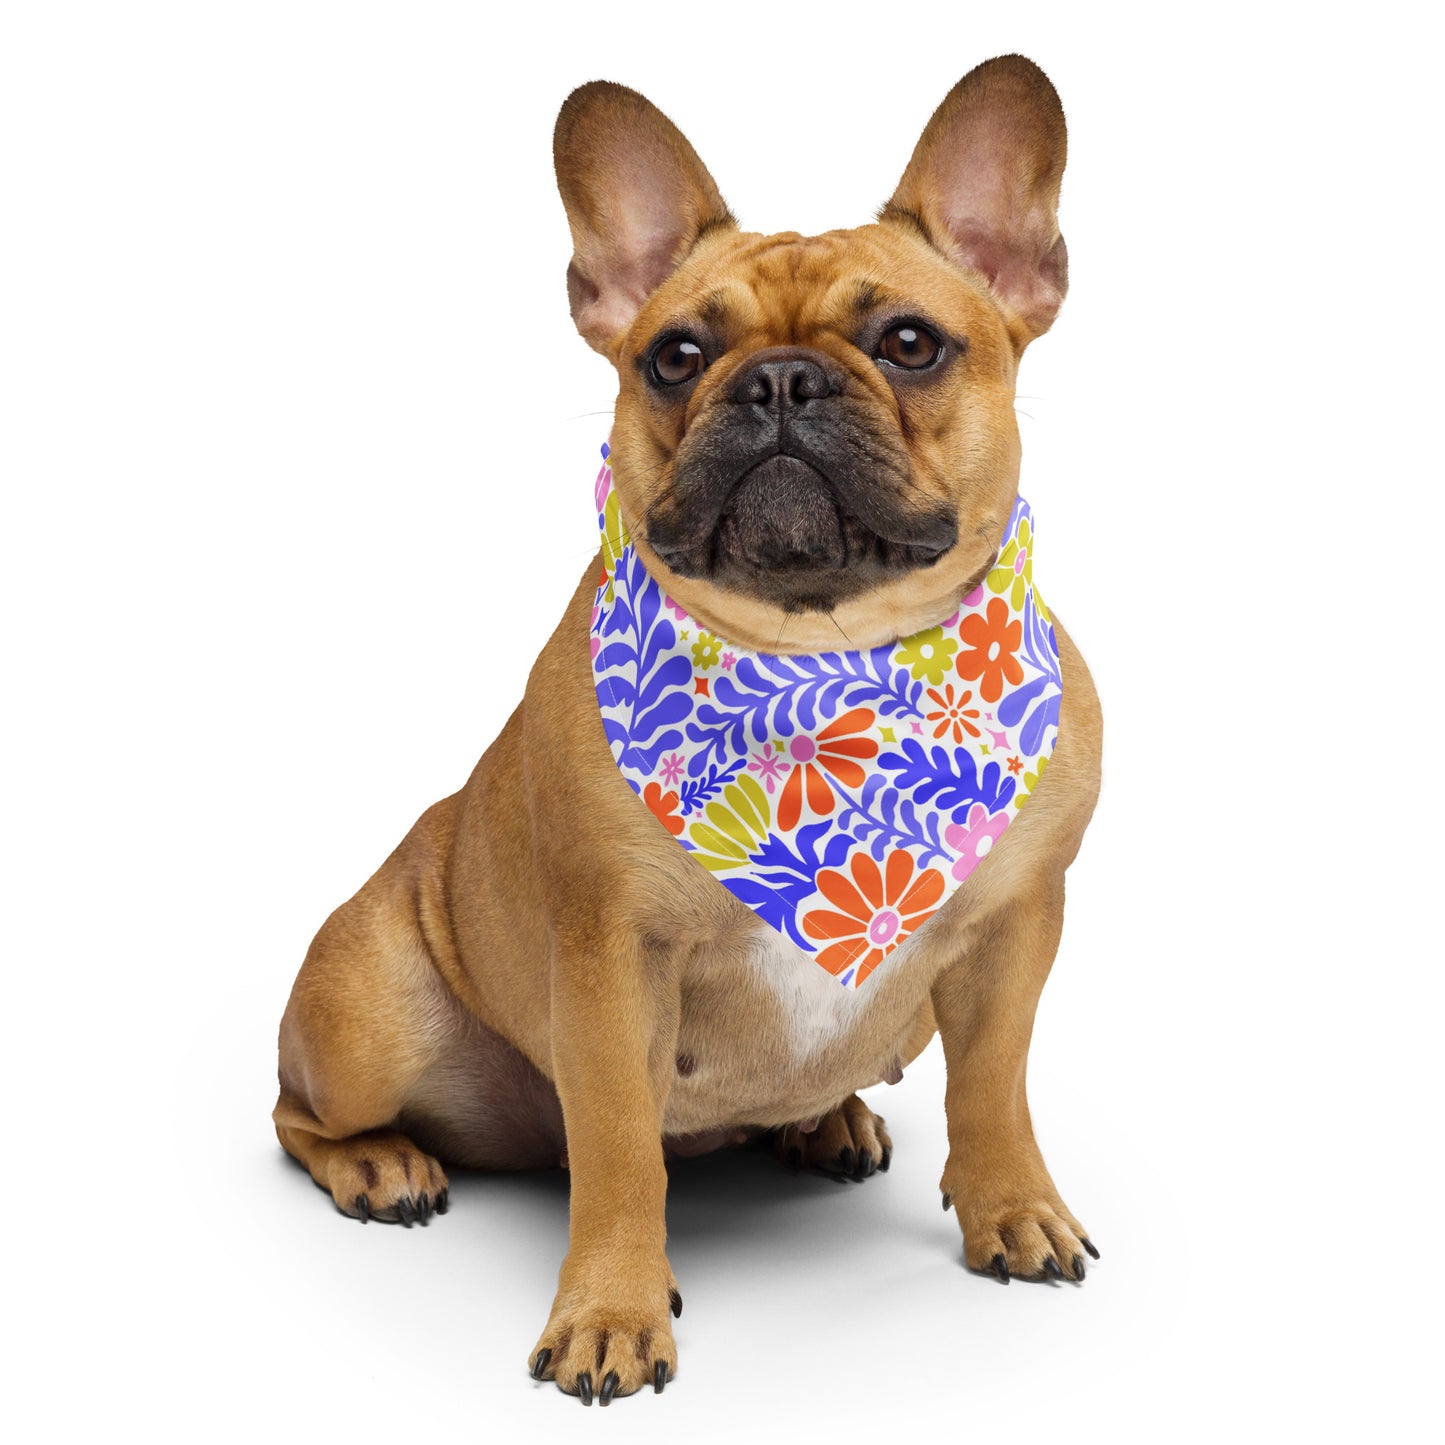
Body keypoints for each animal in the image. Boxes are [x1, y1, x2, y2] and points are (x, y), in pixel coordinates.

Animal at [273, 53, 1103, 1398]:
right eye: (673, 355)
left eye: (910, 343)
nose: (776, 379)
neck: (819, 671)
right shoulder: (612, 958)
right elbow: (619, 1151)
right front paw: (610, 1309)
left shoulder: (1013, 928)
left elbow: (994, 1087)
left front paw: (1011, 1206)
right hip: (368, 1012)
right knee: (303, 1112)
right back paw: (383, 1162)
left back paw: (827, 1117)